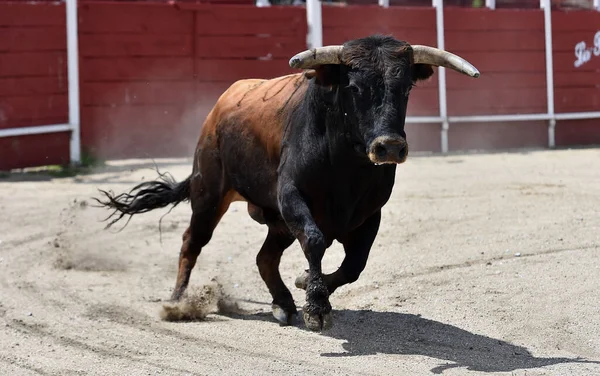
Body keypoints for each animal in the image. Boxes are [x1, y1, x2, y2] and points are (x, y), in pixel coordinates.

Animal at [96, 33, 480, 330]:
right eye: (355, 87)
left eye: (406, 88)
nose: (389, 147)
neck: (348, 168)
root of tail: (220, 107)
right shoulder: (292, 197)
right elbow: (316, 241)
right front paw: (317, 309)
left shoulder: (371, 214)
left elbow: (354, 264)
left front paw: (308, 283)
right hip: (209, 192)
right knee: (193, 241)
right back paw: (176, 302)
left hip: (276, 222)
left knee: (264, 257)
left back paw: (283, 303)